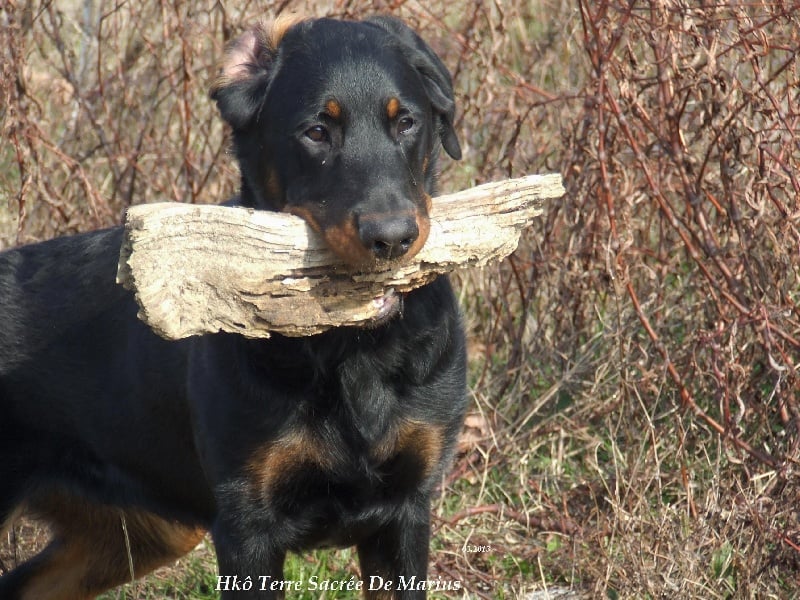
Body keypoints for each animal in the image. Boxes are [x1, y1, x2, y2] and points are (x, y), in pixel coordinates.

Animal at [0, 14, 468, 600]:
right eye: (316, 132)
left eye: (406, 122)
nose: (392, 237)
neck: (351, 346)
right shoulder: (247, 525)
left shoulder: (406, 510)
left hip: (145, 531)